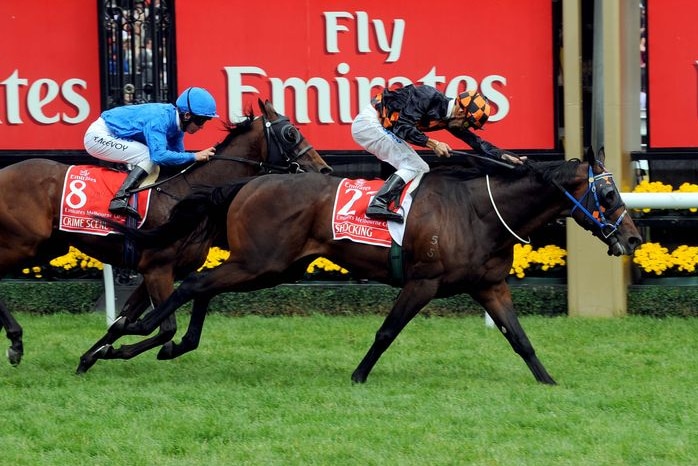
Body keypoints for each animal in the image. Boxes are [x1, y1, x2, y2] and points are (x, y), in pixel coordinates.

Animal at [0, 99, 332, 368]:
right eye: (291, 133)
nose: (324, 170)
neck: (184, 194)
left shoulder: (154, 272)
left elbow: (122, 320)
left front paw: (90, 357)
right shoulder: (158, 269)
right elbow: (166, 328)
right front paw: (115, 352)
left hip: (48, 246)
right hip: (26, 243)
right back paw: (15, 341)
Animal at [77, 147, 640, 384]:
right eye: (610, 194)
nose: (633, 238)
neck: (478, 210)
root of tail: (248, 182)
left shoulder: (491, 287)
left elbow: (520, 340)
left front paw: (549, 383)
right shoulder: (423, 281)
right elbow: (387, 332)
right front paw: (358, 375)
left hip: (270, 266)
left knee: (202, 287)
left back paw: (145, 344)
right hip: (262, 261)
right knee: (192, 283)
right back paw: (130, 337)